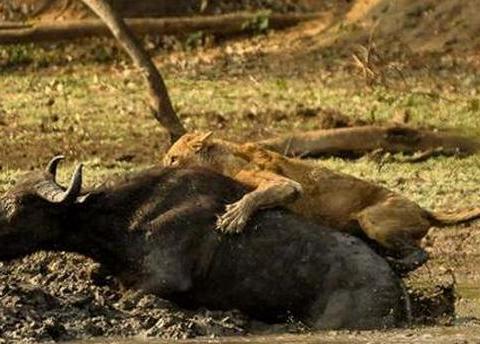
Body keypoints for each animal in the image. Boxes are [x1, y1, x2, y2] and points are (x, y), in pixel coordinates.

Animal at [162, 133, 480, 272]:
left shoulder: (286, 185)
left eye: (173, 158)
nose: (161, 165)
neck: (220, 157)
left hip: (374, 219)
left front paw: (233, 218)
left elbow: (255, 194)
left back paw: (399, 265)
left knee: (421, 252)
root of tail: (423, 209)